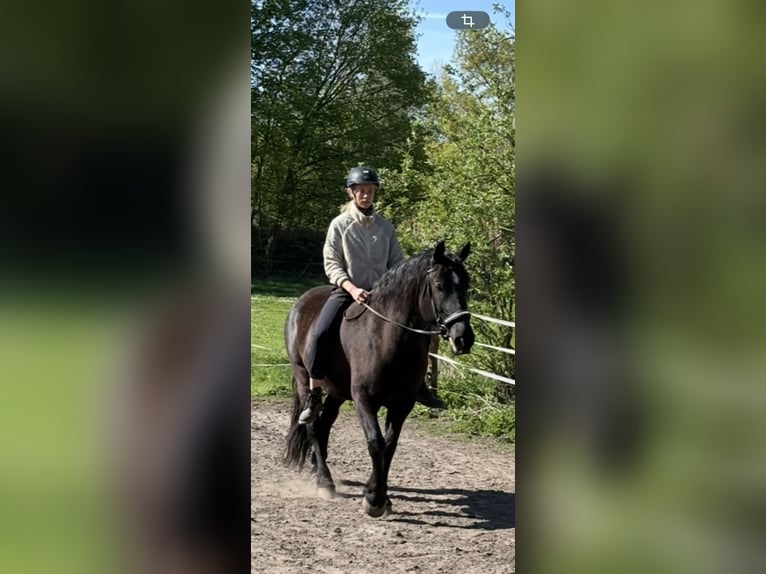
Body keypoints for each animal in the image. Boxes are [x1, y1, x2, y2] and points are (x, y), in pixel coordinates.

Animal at [283, 240, 475, 517]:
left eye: (466, 284)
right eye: (439, 285)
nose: (463, 338)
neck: (387, 339)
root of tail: (301, 302)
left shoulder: (402, 404)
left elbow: (390, 446)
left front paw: (382, 496)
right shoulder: (364, 399)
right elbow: (376, 443)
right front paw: (373, 499)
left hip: (337, 392)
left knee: (323, 425)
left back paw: (319, 469)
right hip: (303, 378)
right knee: (311, 423)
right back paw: (324, 482)